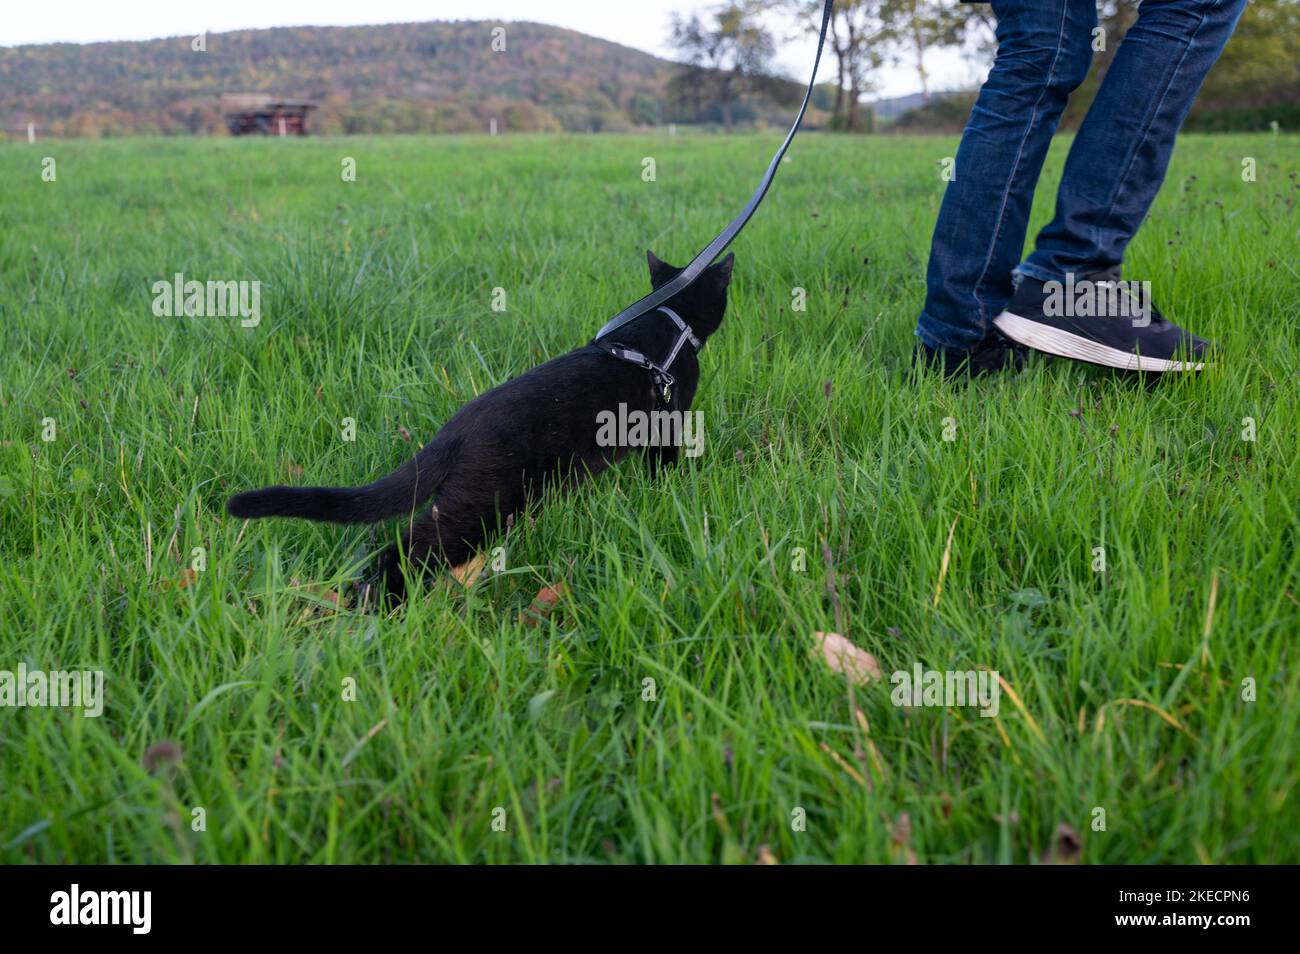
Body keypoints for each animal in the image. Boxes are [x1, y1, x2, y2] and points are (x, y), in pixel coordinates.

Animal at [223, 250, 733, 600]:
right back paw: (385, 603)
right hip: (481, 506)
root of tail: (457, 427)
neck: (665, 321)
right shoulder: (671, 417)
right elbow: (665, 464)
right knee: (405, 549)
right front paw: (671, 492)